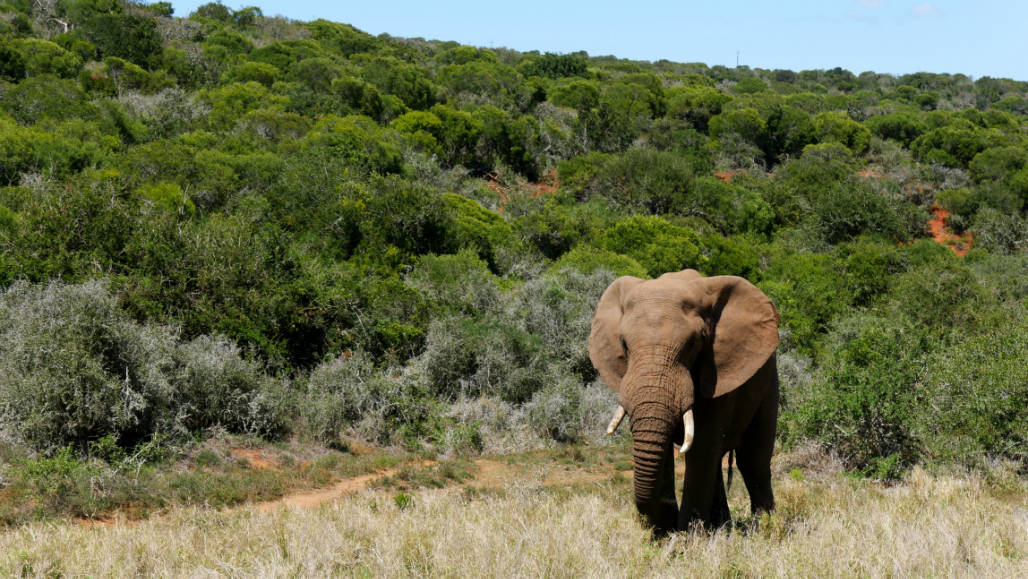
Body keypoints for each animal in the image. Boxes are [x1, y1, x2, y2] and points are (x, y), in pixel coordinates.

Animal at [588, 269, 777, 534]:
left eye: (693, 343)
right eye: (623, 343)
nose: (667, 516)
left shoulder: (716, 373)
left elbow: (701, 448)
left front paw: (688, 538)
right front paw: (665, 535)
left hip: (768, 381)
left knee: (753, 461)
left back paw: (765, 530)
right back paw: (722, 529)